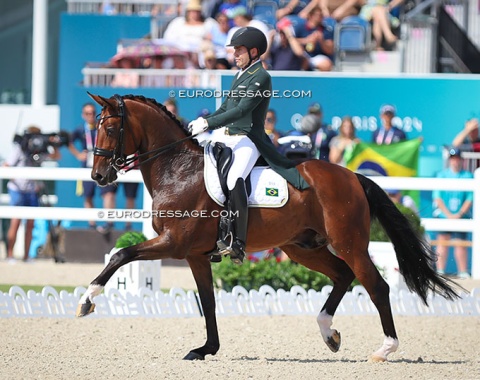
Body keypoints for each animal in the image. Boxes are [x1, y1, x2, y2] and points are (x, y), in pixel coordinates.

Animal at [76, 93, 462, 360]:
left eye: (110, 128)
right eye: (95, 127)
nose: (98, 176)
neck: (177, 169)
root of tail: (352, 176)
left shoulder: (173, 243)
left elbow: (121, 255)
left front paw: (86, 300)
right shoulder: (196, 255)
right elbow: (208, 301)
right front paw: (206, 349)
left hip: (349, 243)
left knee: (376, 285)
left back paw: (385, 349)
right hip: (302, 247)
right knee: (342, 275)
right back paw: (329, 333)